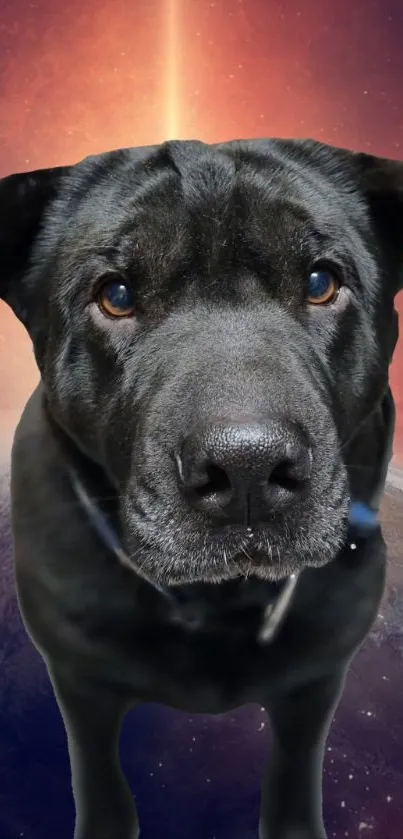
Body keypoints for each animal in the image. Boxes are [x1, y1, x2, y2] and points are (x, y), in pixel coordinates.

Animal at [1, 139, 402, 839]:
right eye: (117, 294)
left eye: (321, 283)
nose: (247, 467)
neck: (220, 603)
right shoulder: (79, 679)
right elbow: (99, 783)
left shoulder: (316, 683)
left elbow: (294, 781)